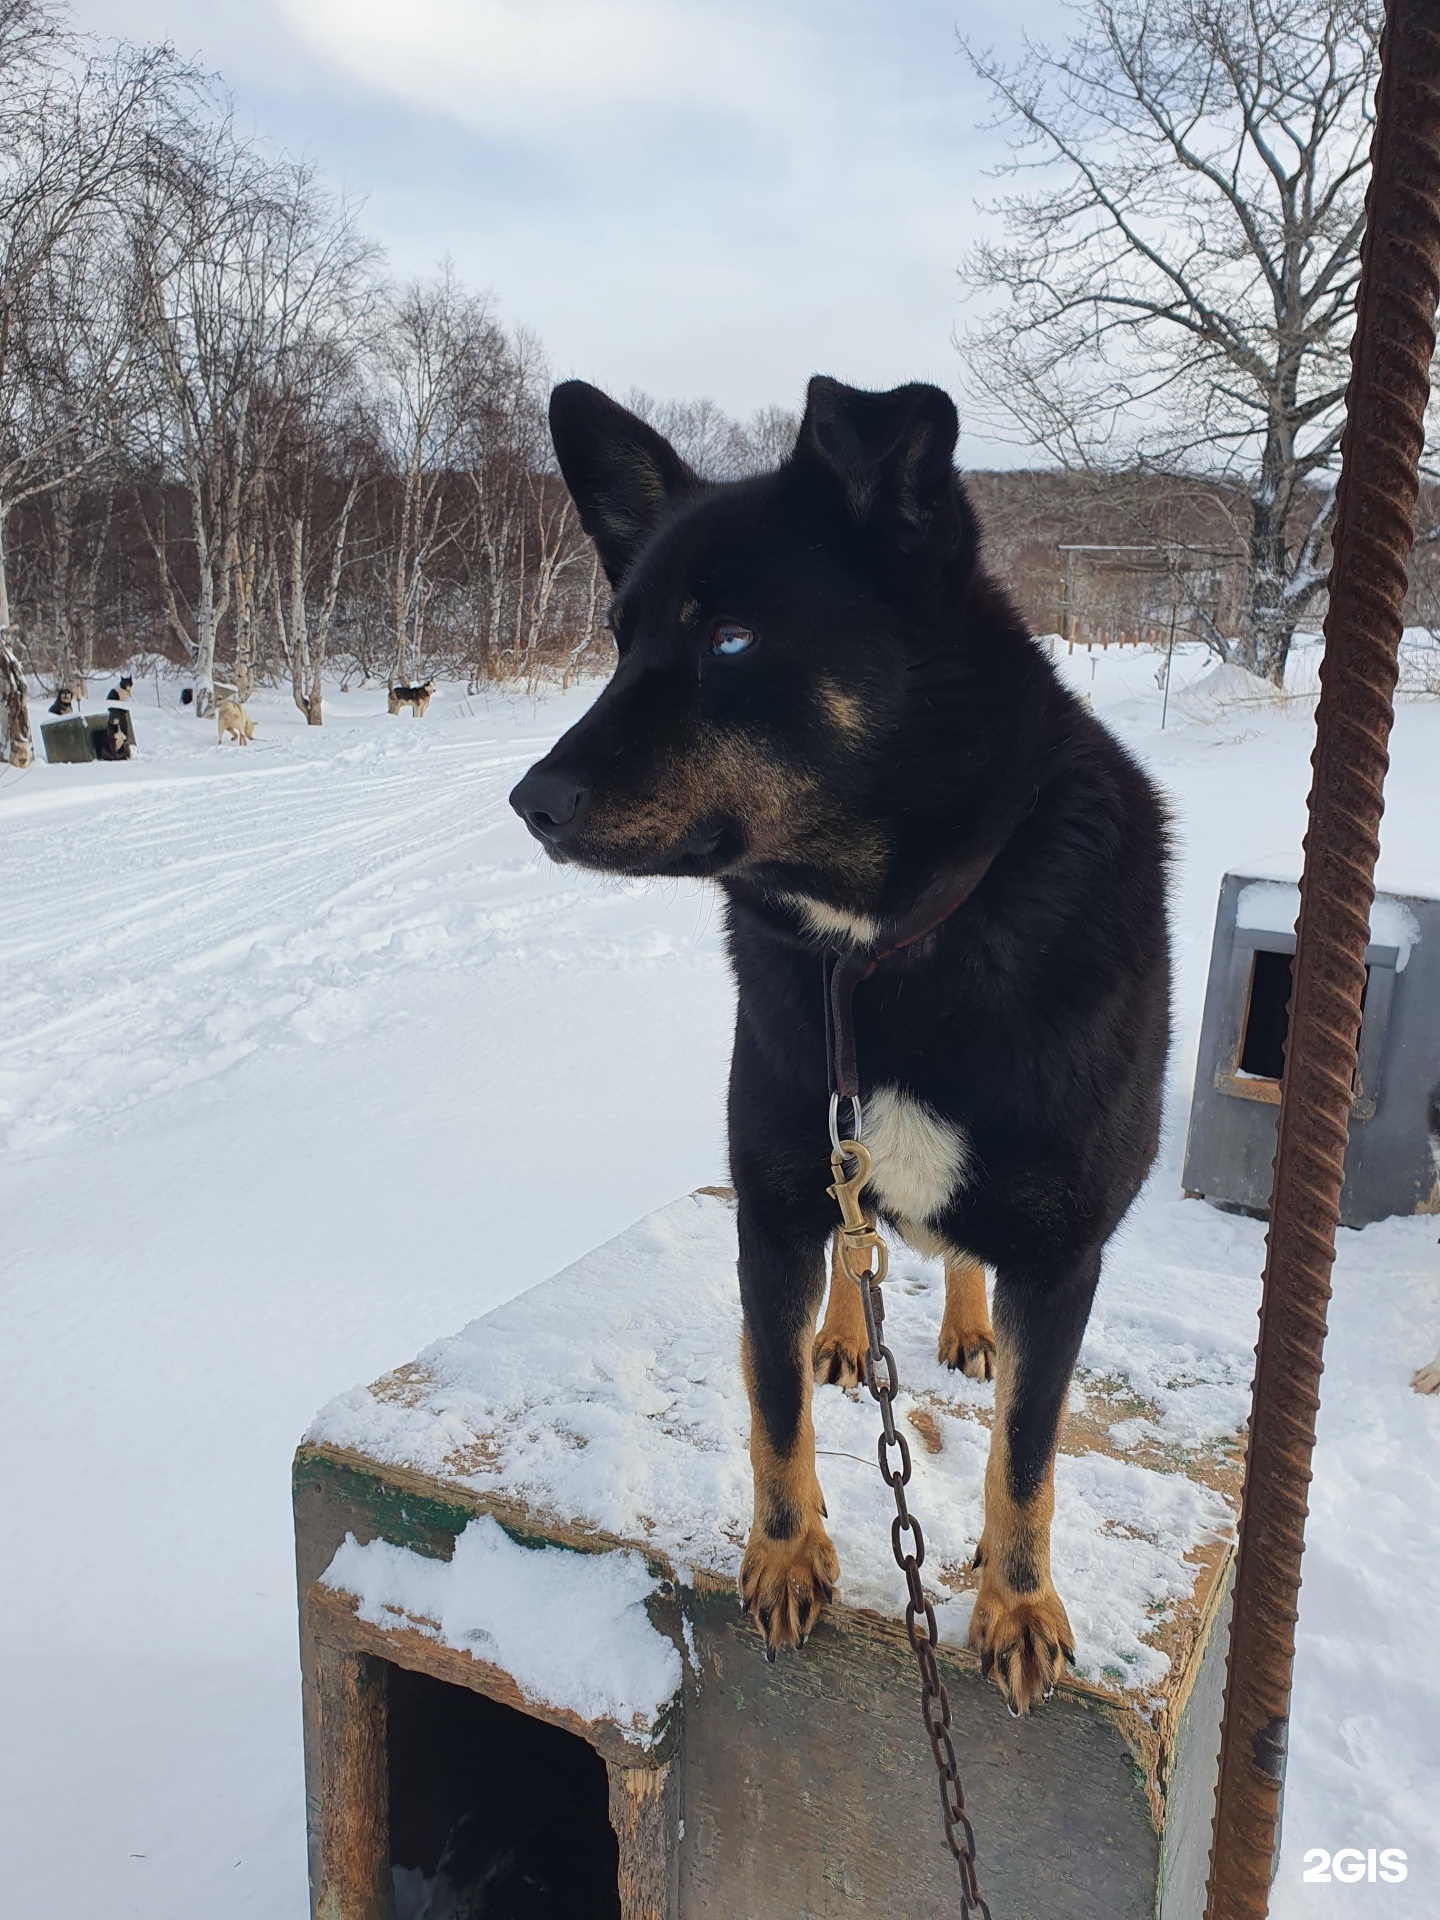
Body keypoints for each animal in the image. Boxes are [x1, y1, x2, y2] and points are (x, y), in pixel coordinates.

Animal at [510, 374, 1175, 1712]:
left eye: (729, 639)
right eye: (620, 636)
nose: (531, 802)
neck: (882, 946)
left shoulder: (1061, 1251)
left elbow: (1027, 1457)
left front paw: (1017, 1606)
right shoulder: (772, 1204)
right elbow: (773, 1407)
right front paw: (785, 1555)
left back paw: (964, 1326)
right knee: (848, 1271)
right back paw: (843, 1337)